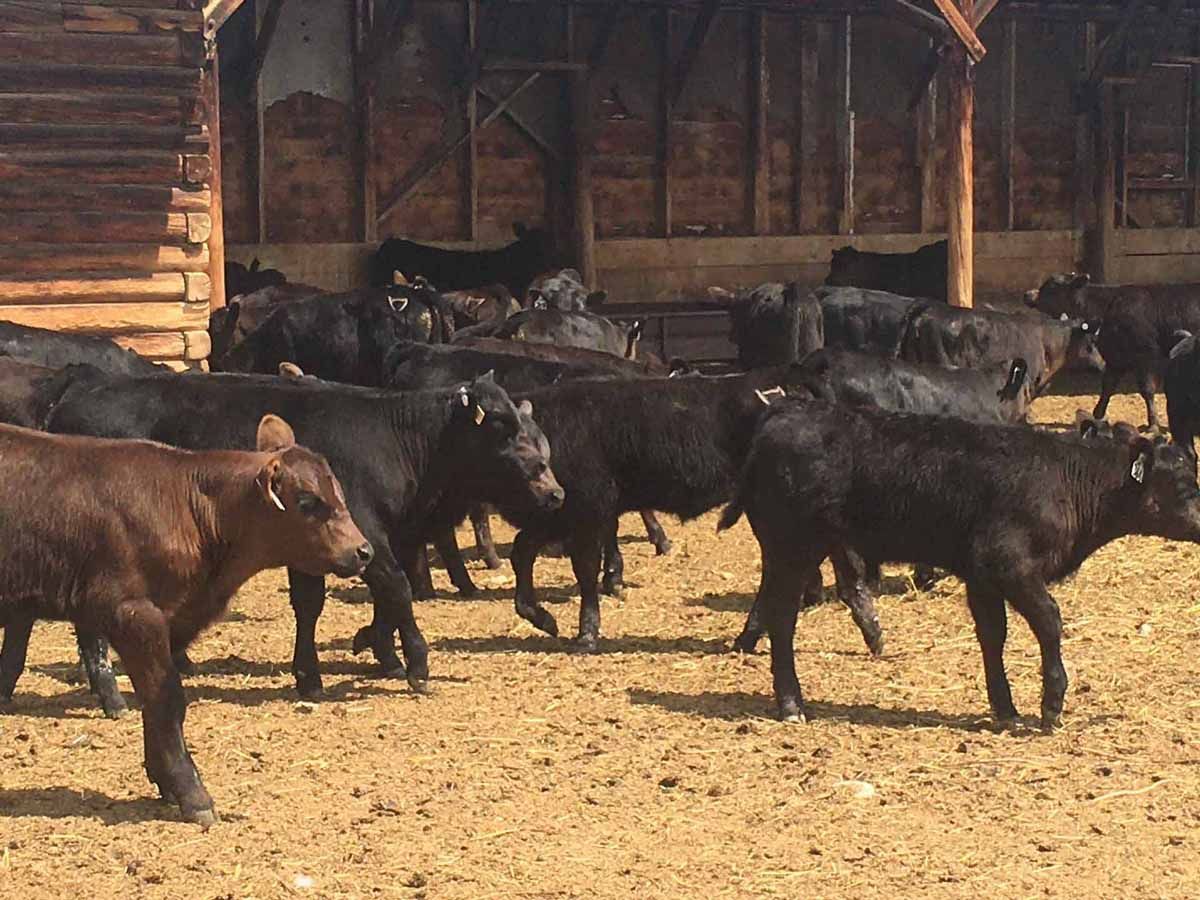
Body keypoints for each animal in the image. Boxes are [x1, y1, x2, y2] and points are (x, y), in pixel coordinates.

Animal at [0, 415, 370, 825]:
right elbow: (167, 699)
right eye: (307, 501)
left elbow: (154, 700)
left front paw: (164, 780)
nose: (363, 551)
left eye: (338, 494)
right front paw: (192, 792)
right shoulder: (134, 614)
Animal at [45, 372, 563, 699]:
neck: (396, 442)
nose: (554, 489)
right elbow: (395, 586)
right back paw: (108, 690)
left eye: (529, 424)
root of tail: (72, 397)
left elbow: (321, 603)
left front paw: (337, 663)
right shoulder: (367, 535)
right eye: (502, 425)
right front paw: (414, 663)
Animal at [718, 400, 1200, 727]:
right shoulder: (1011, 566)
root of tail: (782, 417)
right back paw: (791, 704)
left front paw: (1005, 709)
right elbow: (1049, 621)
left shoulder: (981, 578)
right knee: (783, 619)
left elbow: (993, 636)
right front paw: (1050, 704)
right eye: (1183, 483)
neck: (1066, 480)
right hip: (793, 547)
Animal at [1024, 272, 1200, 429]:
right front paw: (1097, 414)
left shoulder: (1146, 357)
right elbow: (1108, 386)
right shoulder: (1115, 358)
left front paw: (1153, 423)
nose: (1027, 294)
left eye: (1053, 286)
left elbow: (1147, 390)